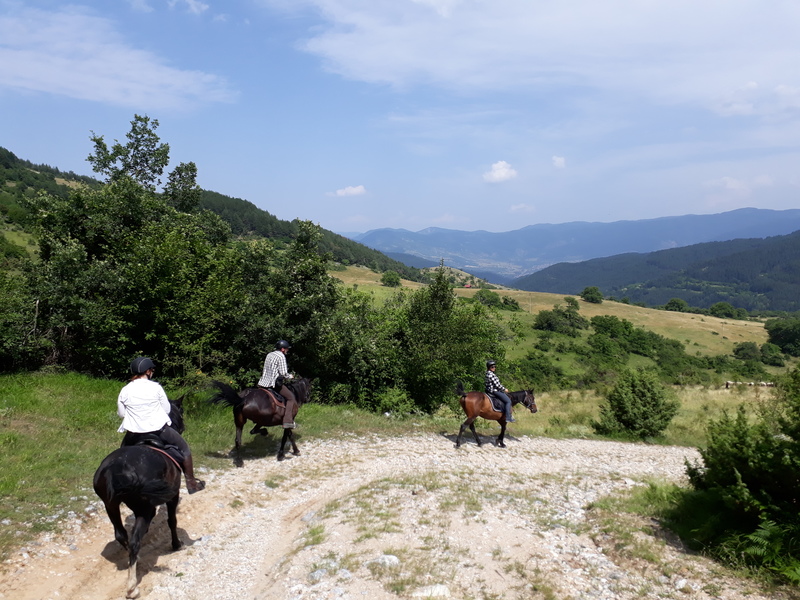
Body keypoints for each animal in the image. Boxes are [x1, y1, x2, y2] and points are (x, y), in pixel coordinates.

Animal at [92, 396, 184, 596]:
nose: (182, 427)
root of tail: (115, 469)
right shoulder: (173, 495)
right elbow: (172, 521)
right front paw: (176, 544)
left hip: (110, 505)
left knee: (121, 535)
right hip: (144, 508)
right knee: (134, 540)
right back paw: (132, 587)